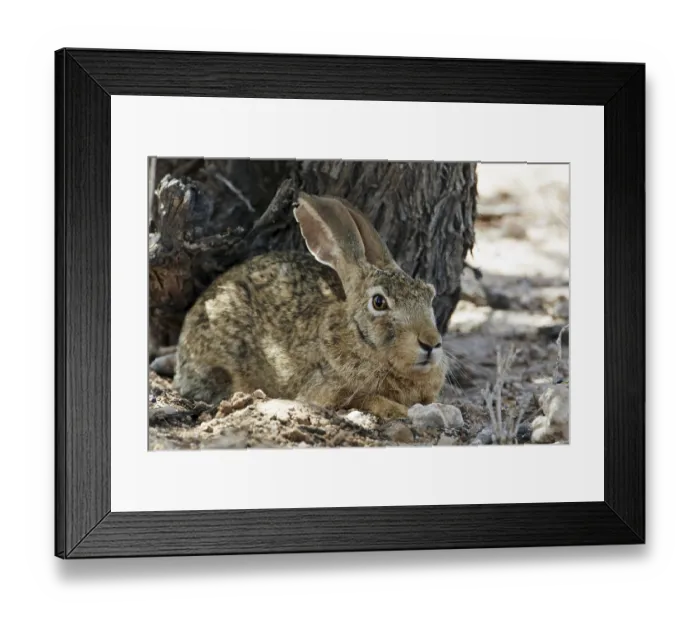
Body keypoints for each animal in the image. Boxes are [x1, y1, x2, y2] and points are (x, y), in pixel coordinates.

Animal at [173, 192, 447, 420]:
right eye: (379, 302)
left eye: (430, 296)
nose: (431, 343)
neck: (357, 337)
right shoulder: (327, 390)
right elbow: (365, 398)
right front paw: (397, 409)